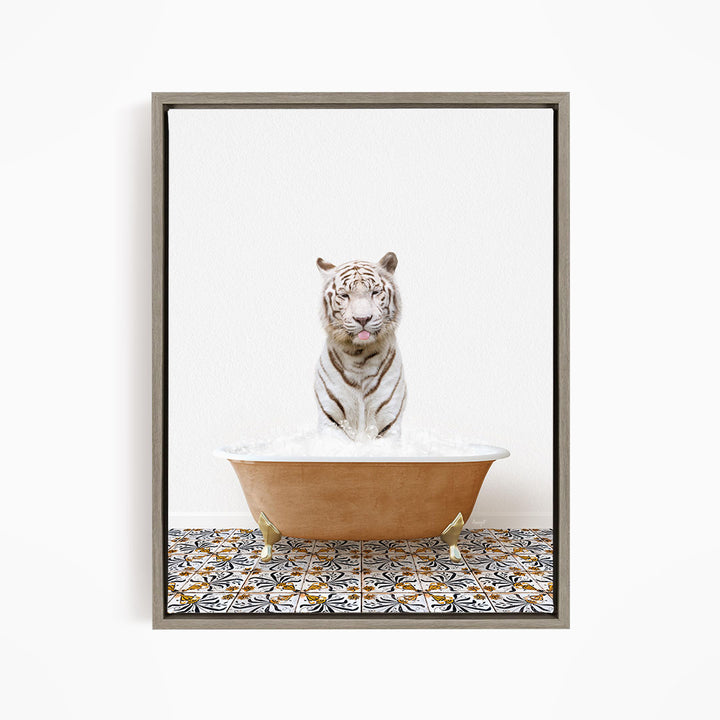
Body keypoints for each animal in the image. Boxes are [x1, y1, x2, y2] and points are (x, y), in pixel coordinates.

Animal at [314, 251, 406, 440]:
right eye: (344, 295)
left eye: (375, 292)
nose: (363, 319)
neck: (359, 356)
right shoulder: (330, 418)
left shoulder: (389, 420)